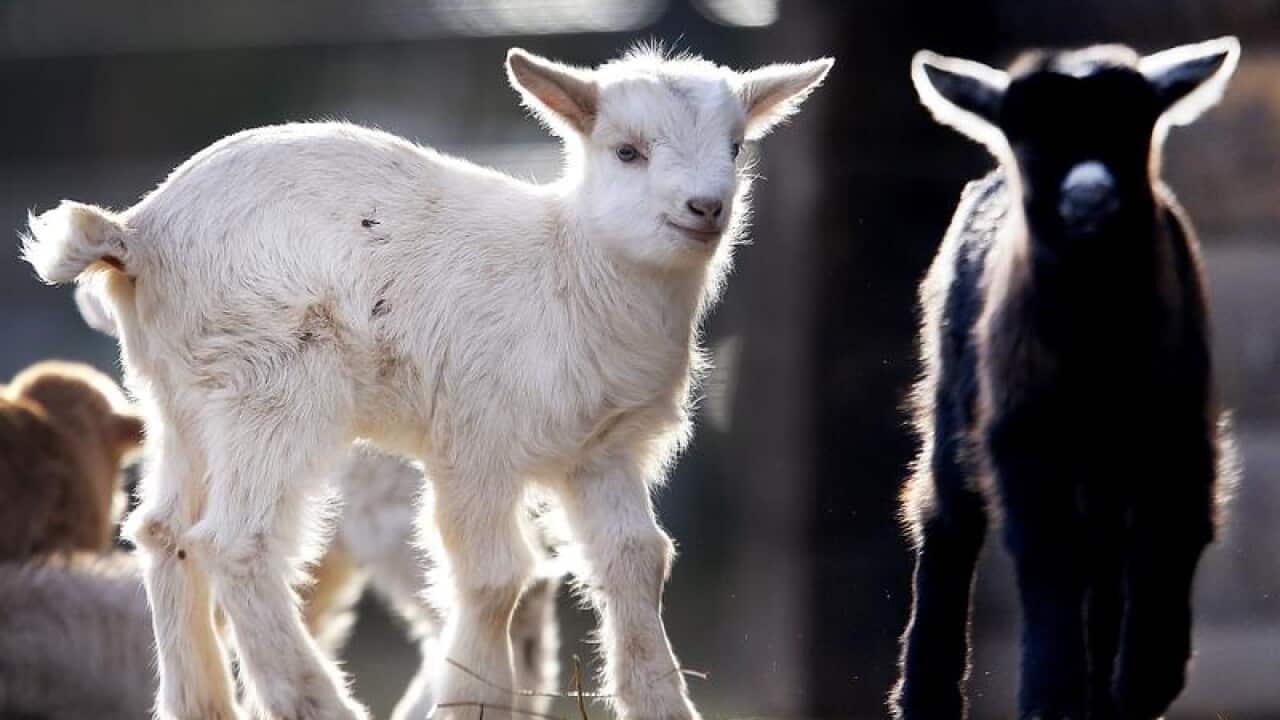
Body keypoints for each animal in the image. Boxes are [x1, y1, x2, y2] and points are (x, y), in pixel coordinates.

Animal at [23, 46, 831, 720]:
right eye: (627, 151)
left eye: (735, 146)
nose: (707, 208)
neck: (570, 270)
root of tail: (138, 234)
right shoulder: (476, 442)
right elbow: (497, 579)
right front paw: (469, 700)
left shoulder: (600, 452)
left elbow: (637, 560)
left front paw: (661, 704)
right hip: (276, 390)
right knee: (234, 543)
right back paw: (318, 703)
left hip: (180, 399)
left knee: (164, 535)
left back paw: (204, 705)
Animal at [893, 38, 1239, 720]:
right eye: (1029, 139)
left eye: (1136, 130)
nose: (1088, 199)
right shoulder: (1023, 438)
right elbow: (1046, 556)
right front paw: (1050, 696)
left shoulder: (1180, 437)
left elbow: (1167, 547)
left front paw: (1141, 684)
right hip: (953, 403)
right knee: (947, 518)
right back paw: (926, 696)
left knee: (1103, 563)